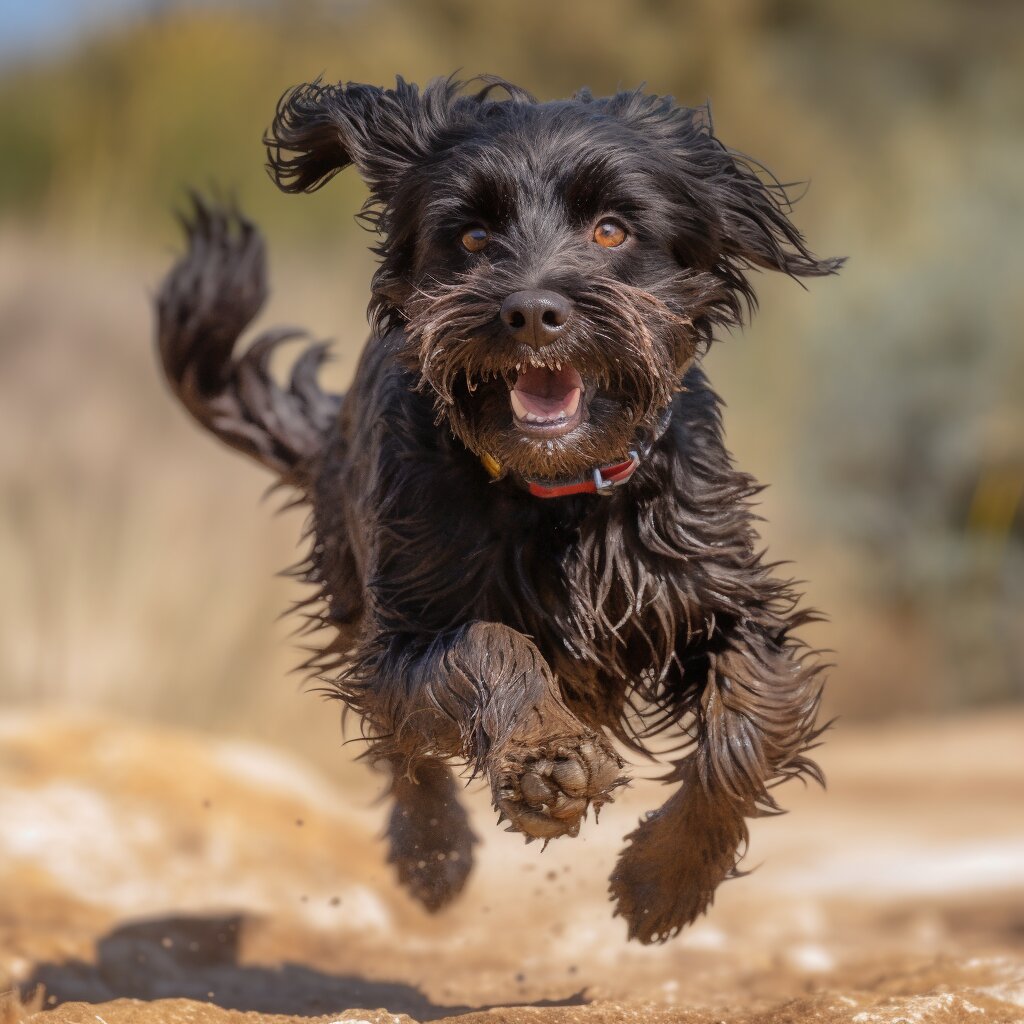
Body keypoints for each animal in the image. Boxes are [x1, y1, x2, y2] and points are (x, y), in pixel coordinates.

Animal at [153, 77, 839, 942]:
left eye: (611, 228)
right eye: (474, 236)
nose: (532, 311)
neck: (560, 496)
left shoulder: (715, 591)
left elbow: (753, 715)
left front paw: (666, 879)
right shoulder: (407, 624)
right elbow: (484, 646)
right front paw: (548, 761)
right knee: (401, 751)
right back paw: (432, 857)